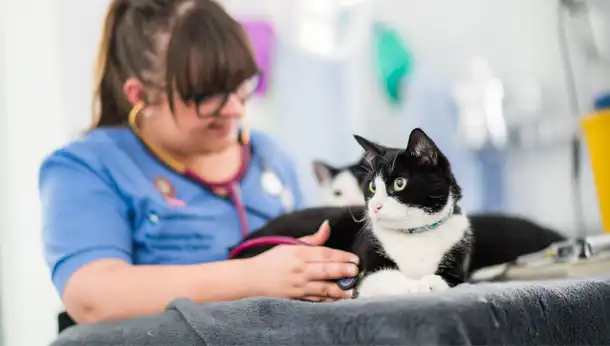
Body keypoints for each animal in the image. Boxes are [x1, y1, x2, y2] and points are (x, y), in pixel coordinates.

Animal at [233, 128, 470, 298]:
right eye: (372, 187)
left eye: (399, 183)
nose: (375, 207)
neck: (415, 235)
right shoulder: (368, 270)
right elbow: (386, 279)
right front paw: (416, 286)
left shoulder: (457, 263)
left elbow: (447, 280)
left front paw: (429, 283)